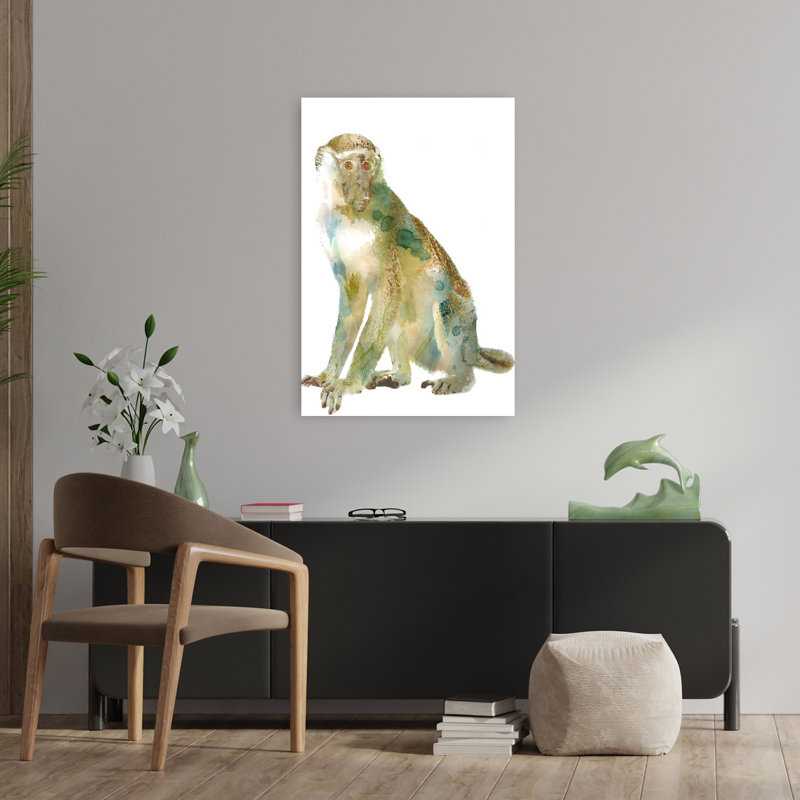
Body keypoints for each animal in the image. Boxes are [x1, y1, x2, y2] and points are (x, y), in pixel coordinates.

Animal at [302, 132, 514, 414]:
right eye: (348, 166)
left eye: (367, 166)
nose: (361, 187)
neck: (349, 215)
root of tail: (472, 348)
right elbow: (353, 301)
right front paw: (327, 375)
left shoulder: (383, 231)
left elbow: (388, 293)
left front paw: (348, 384)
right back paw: (400, 375)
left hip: (460, 325)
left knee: (445, 305)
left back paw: (460, 378)